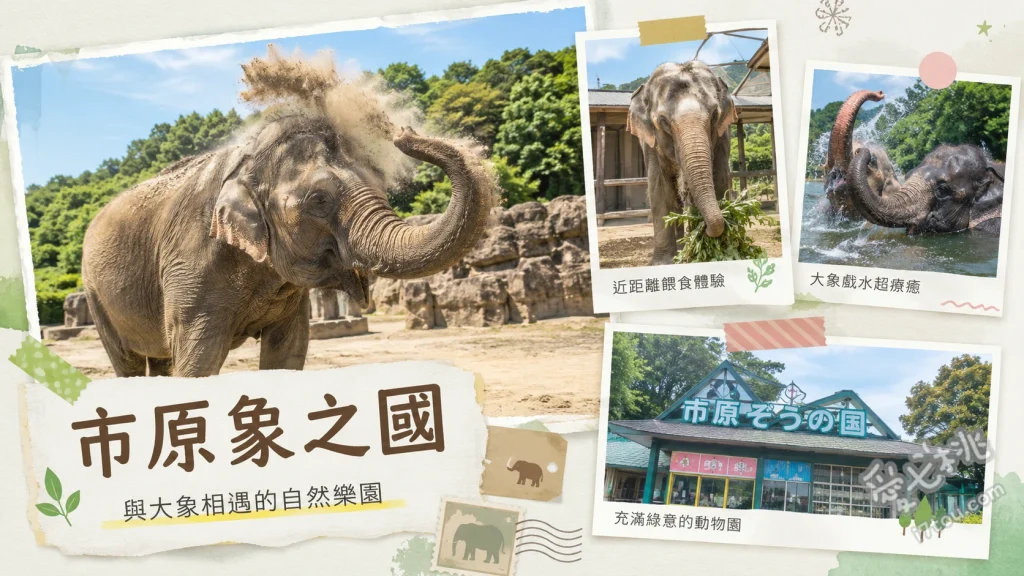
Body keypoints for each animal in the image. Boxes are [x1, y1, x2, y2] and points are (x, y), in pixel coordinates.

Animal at [81, 113, 494, 377]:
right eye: (319, 200)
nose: (402, 132)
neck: (247, 161)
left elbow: (288, 351)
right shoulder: (190, 261)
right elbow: (198, 360)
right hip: (95, 295)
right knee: (129, 363)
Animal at [627, 60, 738, 265]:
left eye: (714, 115)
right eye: (663, 121)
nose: (705, 228)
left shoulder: (722, 137)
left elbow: (719, 179)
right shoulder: (650, 144)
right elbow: (659, 189)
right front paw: (662, 263)